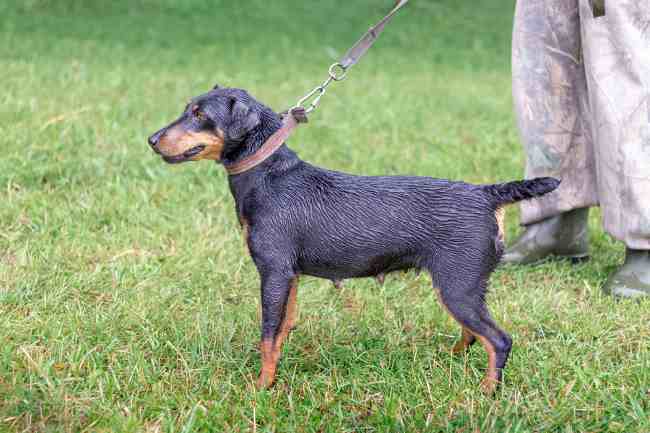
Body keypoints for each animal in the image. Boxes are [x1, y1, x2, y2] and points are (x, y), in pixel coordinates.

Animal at [147, 86, 556, 394]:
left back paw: (487, 391)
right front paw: (276, 371)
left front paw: (262, 386)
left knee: (498, 340)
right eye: (187, 109)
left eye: (200, 115)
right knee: (474, 335)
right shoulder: (289, 276)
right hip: (463, 288)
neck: (268, 174)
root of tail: (486, 194)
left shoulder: (273, 273)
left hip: (457, 287)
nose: (151, 139)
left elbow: (266, 333)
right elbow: (282, 328)